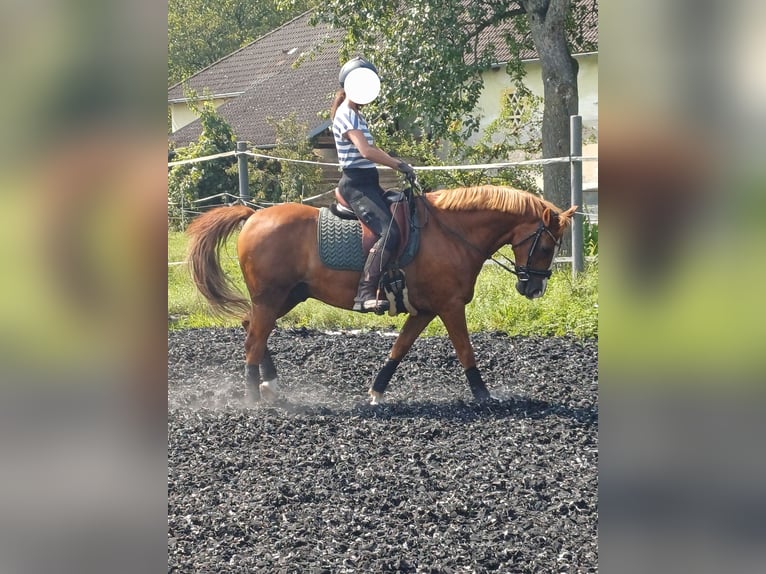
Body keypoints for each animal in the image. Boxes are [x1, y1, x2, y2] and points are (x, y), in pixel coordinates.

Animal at [186, 185, 577, 404]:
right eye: (546, 246)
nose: (534, 288)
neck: (451, 232)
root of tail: (253, 215)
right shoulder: (450, 306)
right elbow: (465, 351)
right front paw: (483, 395)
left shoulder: (425, 310)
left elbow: (399, 349)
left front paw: (376, 391)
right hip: (271, 298)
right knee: (253, 339)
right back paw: (253, 397)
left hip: (286, 297)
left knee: (250, 327)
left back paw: (270, 384)